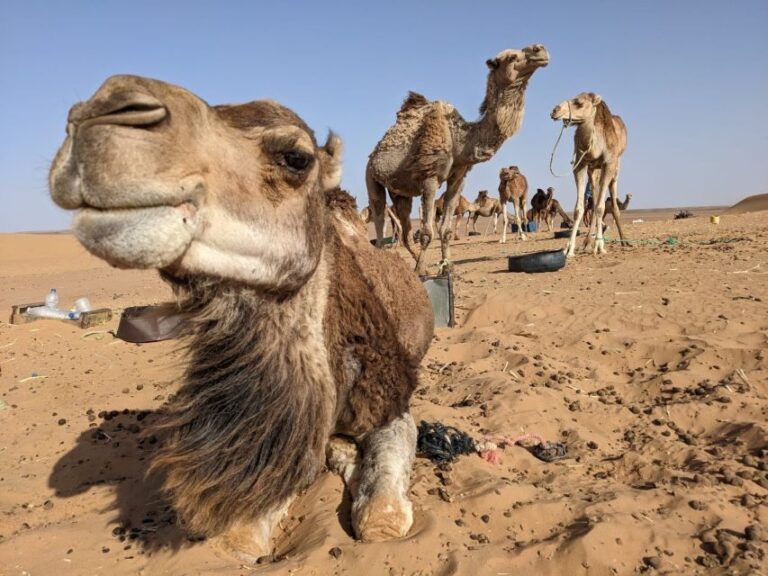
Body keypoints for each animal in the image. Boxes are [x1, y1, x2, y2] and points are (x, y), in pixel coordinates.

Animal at [49, 75, 434, 563]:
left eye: (296, 157)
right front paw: (335, 457)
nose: (103, 109)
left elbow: (381, 521)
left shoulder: (390, 398)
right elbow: (242, 536)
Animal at [367, 44, 549, 274]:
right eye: (510, 57)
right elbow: (427, 232)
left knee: (406, 230)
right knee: (379, 222)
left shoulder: (459, 178)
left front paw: (446, 269)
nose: (540, 50)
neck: (460, 140)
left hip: (400, 192)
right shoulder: (430, 178)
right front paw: (421, 272)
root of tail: (374, 153)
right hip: (371, 177)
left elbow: (445, 230)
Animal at [551, 92, 628, 256]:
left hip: (615, 167)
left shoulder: (609, 164)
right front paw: (569, 248)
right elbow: (579, 209)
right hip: (593, 170)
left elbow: (600, 207)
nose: (555, 110)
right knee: (594, 195)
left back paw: (623, 240)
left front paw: (599, 245)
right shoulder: (580, 165)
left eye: (579, 103)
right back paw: (587, 243)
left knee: (611, 196)